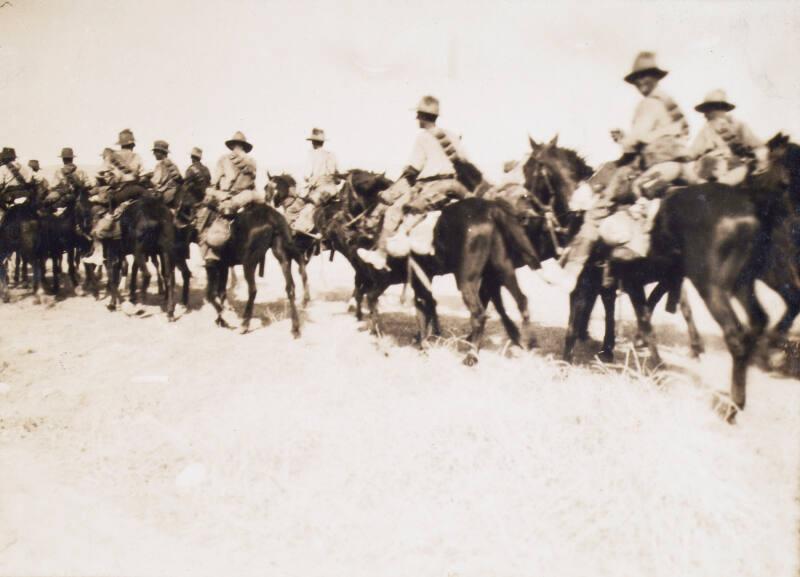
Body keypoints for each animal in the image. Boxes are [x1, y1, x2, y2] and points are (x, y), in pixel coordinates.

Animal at [200, 200, 300, 336]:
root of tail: (272, 218)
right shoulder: (223, 266)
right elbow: (221, 292)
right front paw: (222, 319)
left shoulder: (213, 265)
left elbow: (211, 294)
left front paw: (224, 317)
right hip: (282, 256)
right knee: (290, 288)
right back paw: (295, 328)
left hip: (249, 263)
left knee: (252, 290)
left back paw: (244, 325)